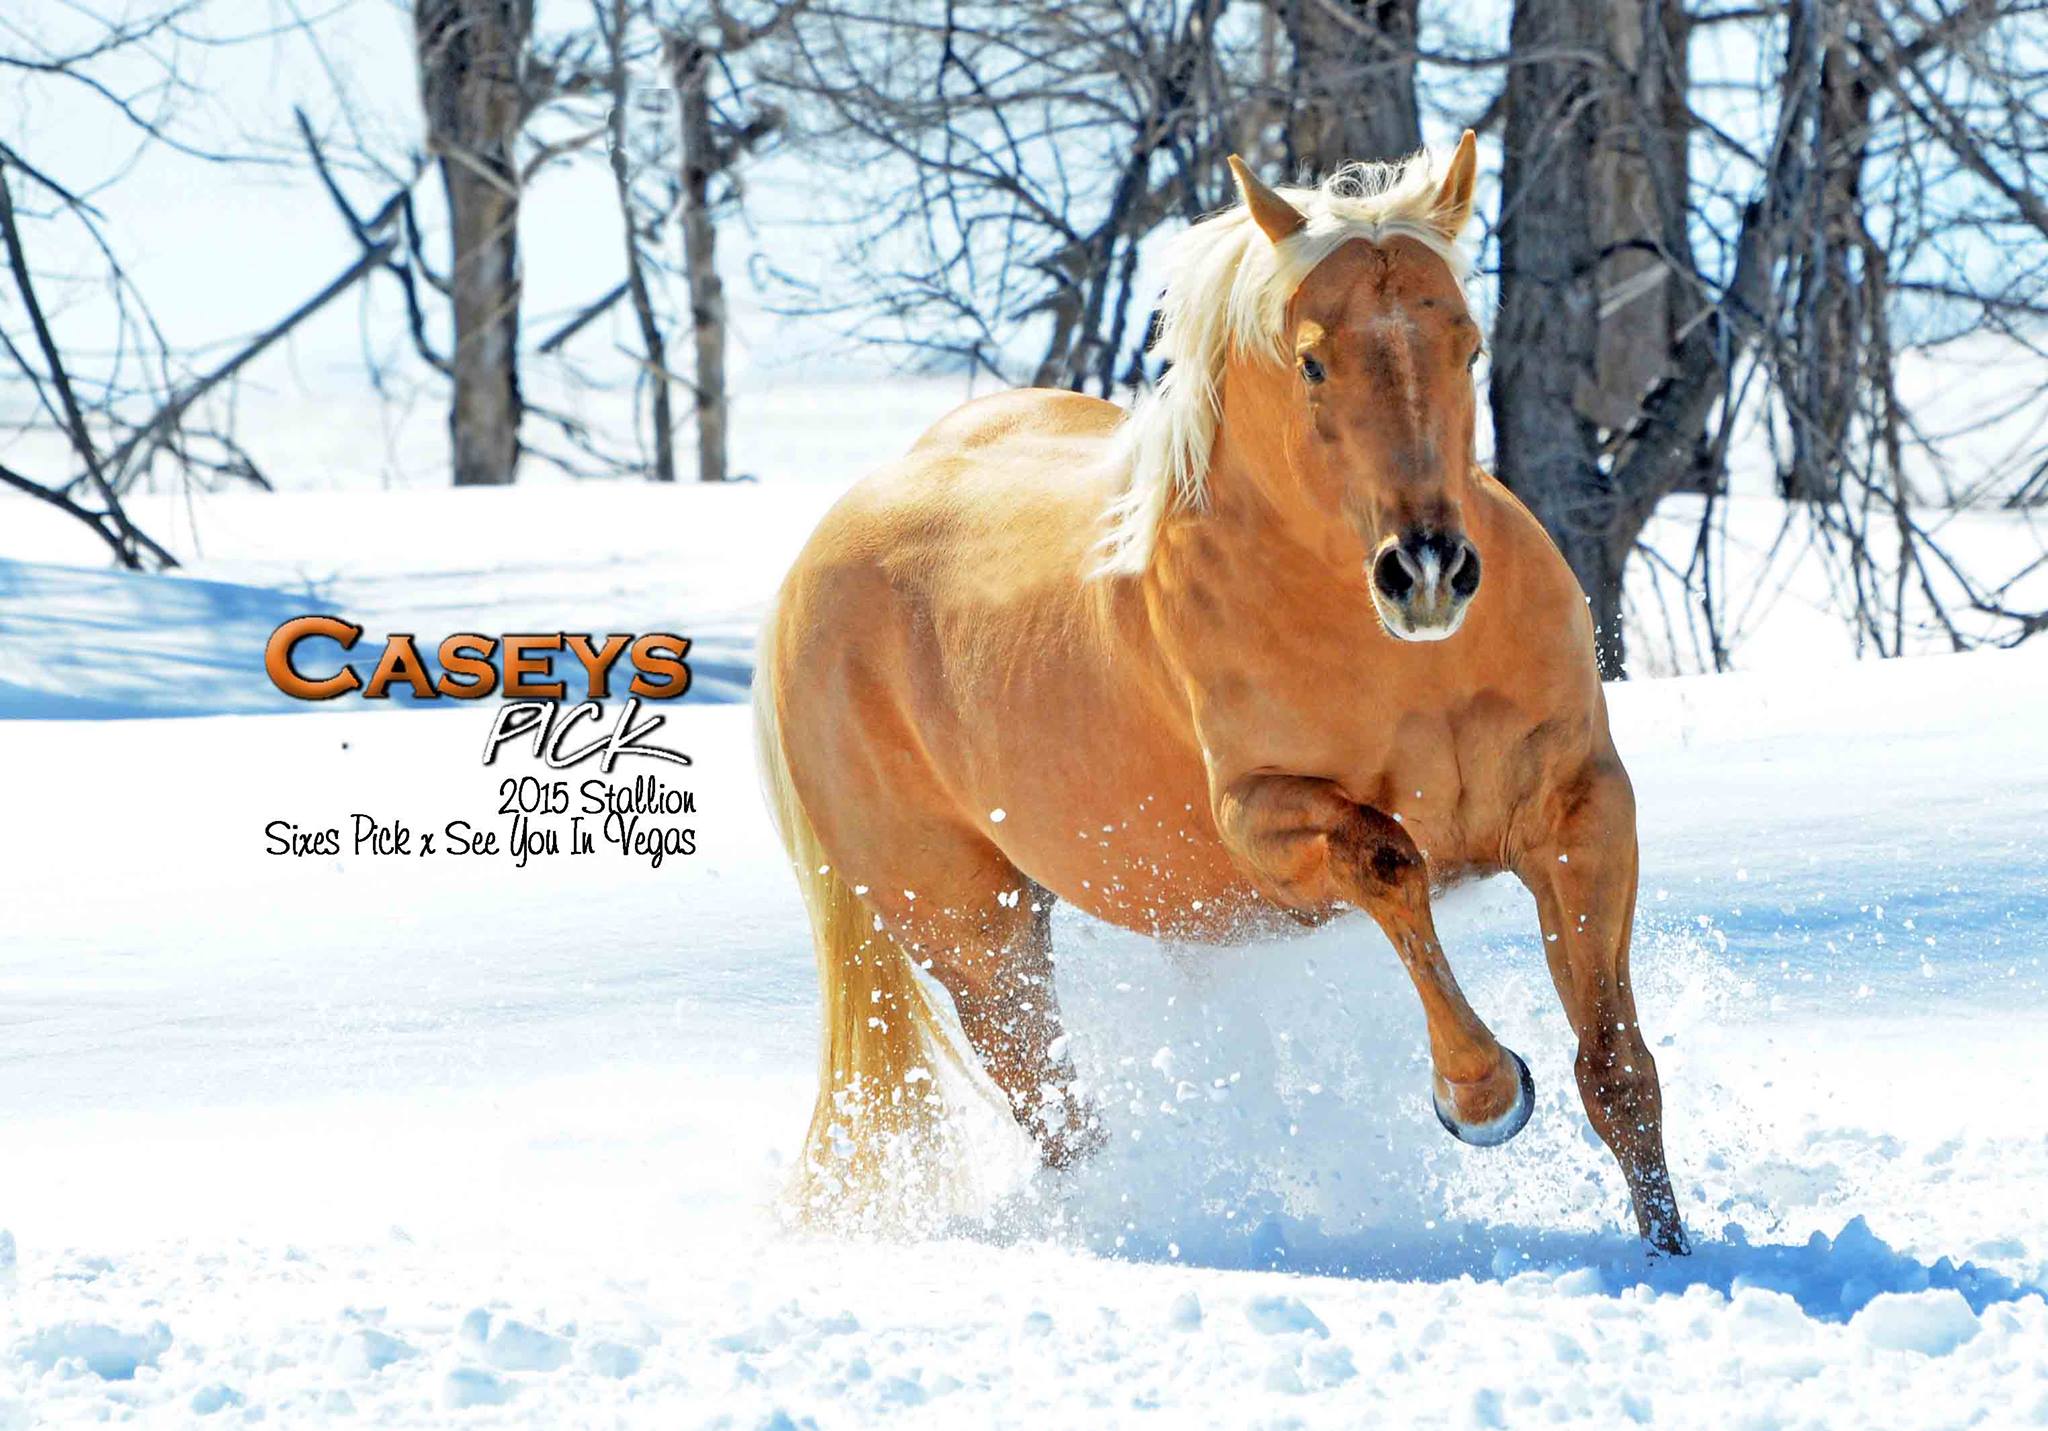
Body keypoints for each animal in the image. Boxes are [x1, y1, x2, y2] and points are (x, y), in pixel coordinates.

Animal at [753, 132, 1689, 1255]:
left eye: (1465, 343)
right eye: (1313, 360)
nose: (1424, 571)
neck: (1405, 664)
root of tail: (814, 563)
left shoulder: (1579, 808)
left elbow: (1617, 1073)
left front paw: (1674, 1251)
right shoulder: (1265, 825)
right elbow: (1391, 861)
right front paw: (1480, 1094)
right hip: (972, 933)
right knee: (1053, 1109)